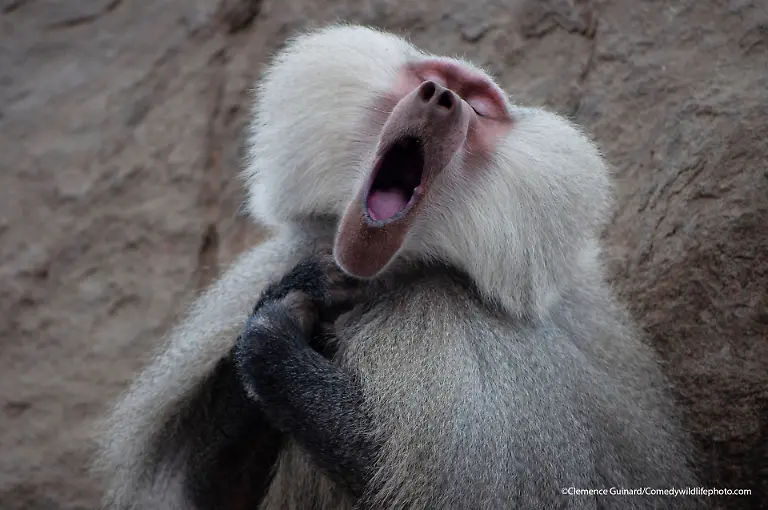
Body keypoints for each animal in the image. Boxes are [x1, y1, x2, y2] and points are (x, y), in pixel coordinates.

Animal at [92, 24, 707, 510]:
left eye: (479, 106)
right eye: (433, 77)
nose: (440, 98)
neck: (383, 274)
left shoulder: (466, 336)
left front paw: (273, 338)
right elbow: (216, 494)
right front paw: (302, 290)